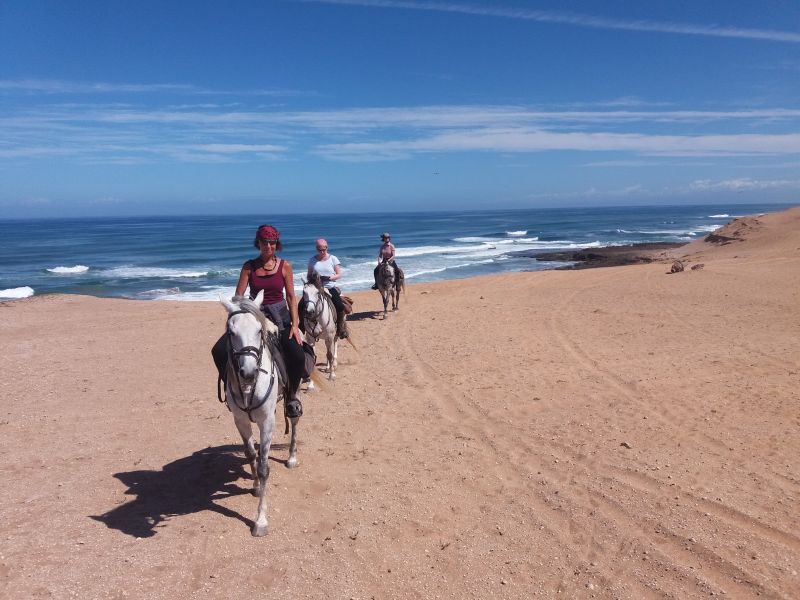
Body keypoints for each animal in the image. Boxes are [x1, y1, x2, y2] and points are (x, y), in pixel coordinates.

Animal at [219, 288, 296, 536]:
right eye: (231, 332)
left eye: (259, 330)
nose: (249, 373)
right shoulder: (240, 421)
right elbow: (251, 454)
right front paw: (254, 486)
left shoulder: (267, 422)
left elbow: (263, 467)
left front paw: (260, 520)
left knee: (295, 420)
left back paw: (292, 456)